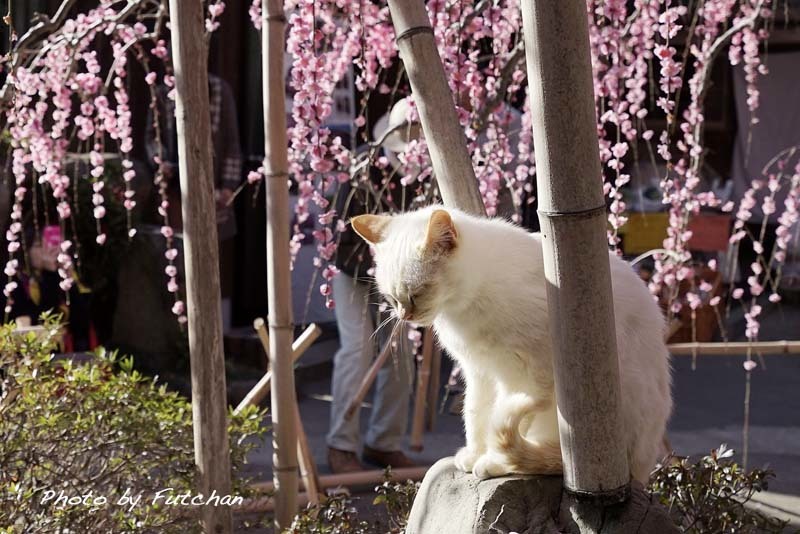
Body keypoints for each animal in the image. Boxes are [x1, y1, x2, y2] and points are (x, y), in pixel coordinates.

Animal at [354, 207, 672, 484]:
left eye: (418, 293)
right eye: (391, 297)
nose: (404, 315)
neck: (464, 309)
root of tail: (638, 471)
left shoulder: (528, 374)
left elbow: (507, 419)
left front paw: (493, 462)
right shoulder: (479, 372)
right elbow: (476, 413)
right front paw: (475, 454)